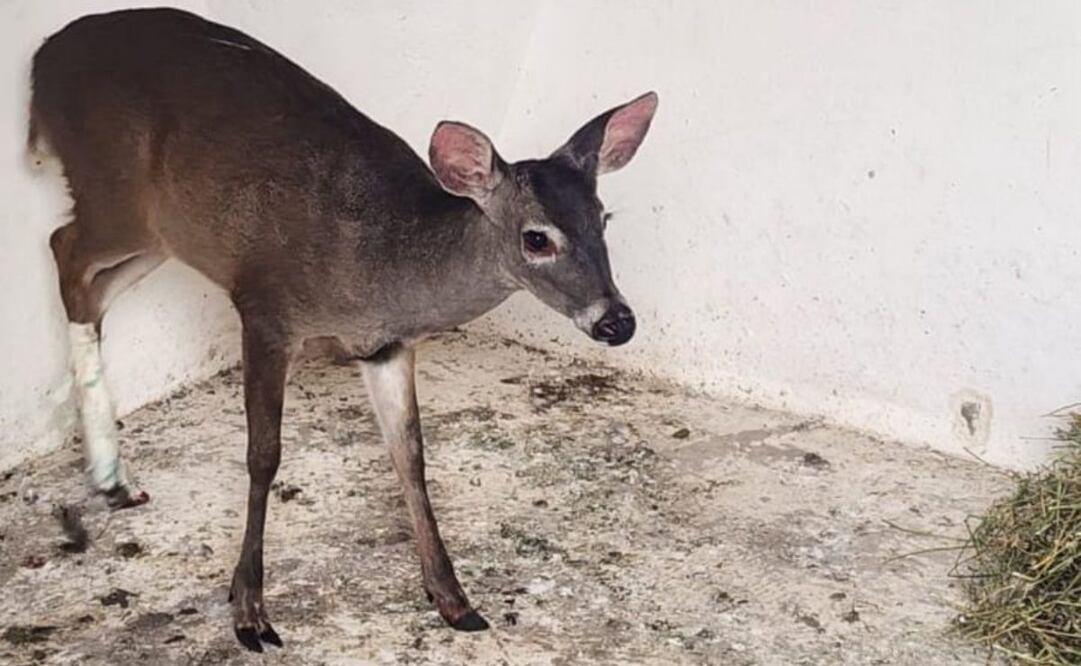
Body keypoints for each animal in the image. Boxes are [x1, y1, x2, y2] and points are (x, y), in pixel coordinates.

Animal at [29, 8, 657, 651]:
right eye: (536, 237)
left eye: (603, 218)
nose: (618, 320)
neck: (379, 266)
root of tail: (42, 61)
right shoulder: (266, 307)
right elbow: (264, 454)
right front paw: (249, 610)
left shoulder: (384, 347)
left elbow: (410, 455)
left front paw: (453, 599)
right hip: (113, 193)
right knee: (62, 247)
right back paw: (109, 470)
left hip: (164, 233)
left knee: (91, 286)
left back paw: (113, 477)